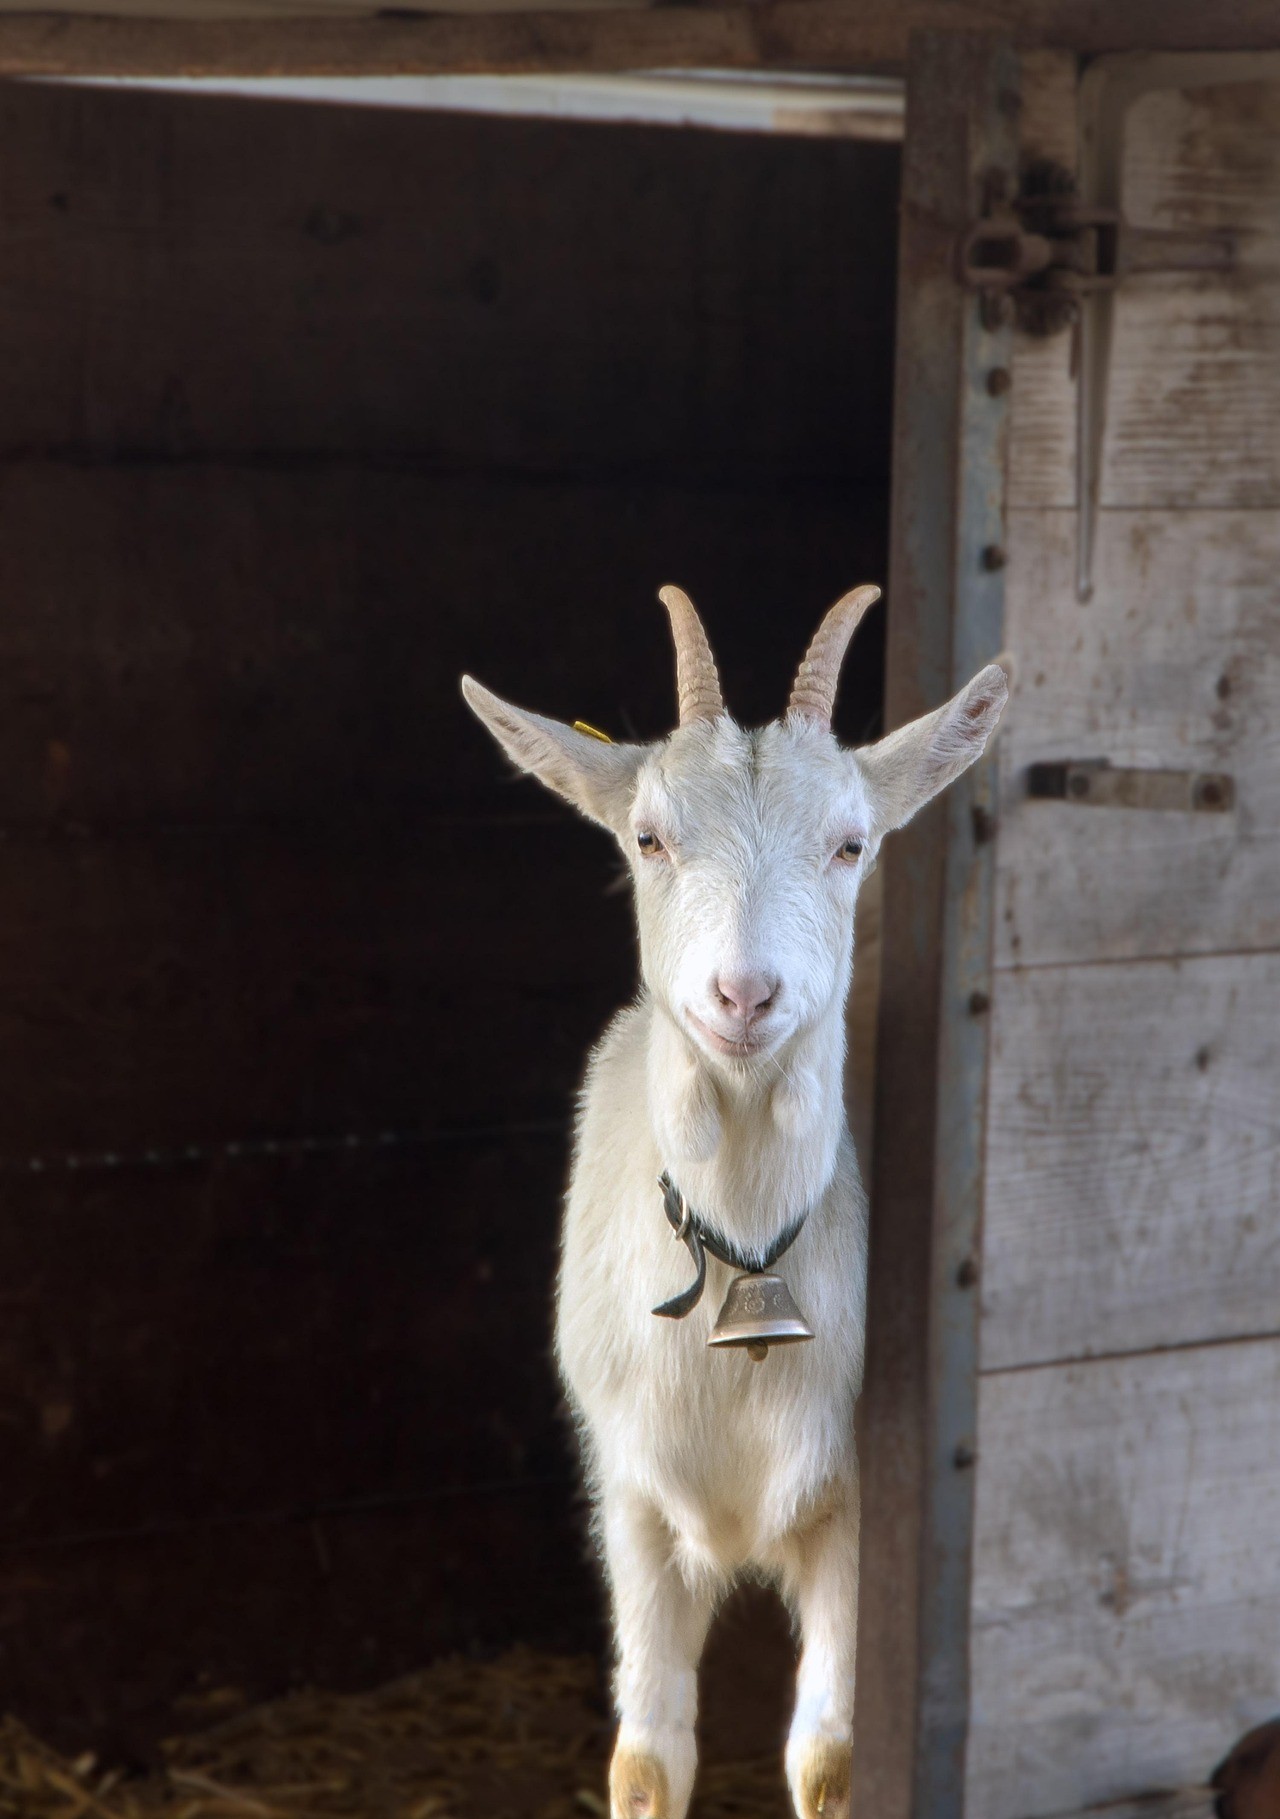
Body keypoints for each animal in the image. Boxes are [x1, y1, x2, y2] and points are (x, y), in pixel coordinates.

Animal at [462, 585, 1008, 1819]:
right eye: (647, 837)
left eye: (850, 843)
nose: (743, 994)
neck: (746, 1260)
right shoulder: (629, 1498)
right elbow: (646, 1756)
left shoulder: (855, 1505)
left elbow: (829, 1756)